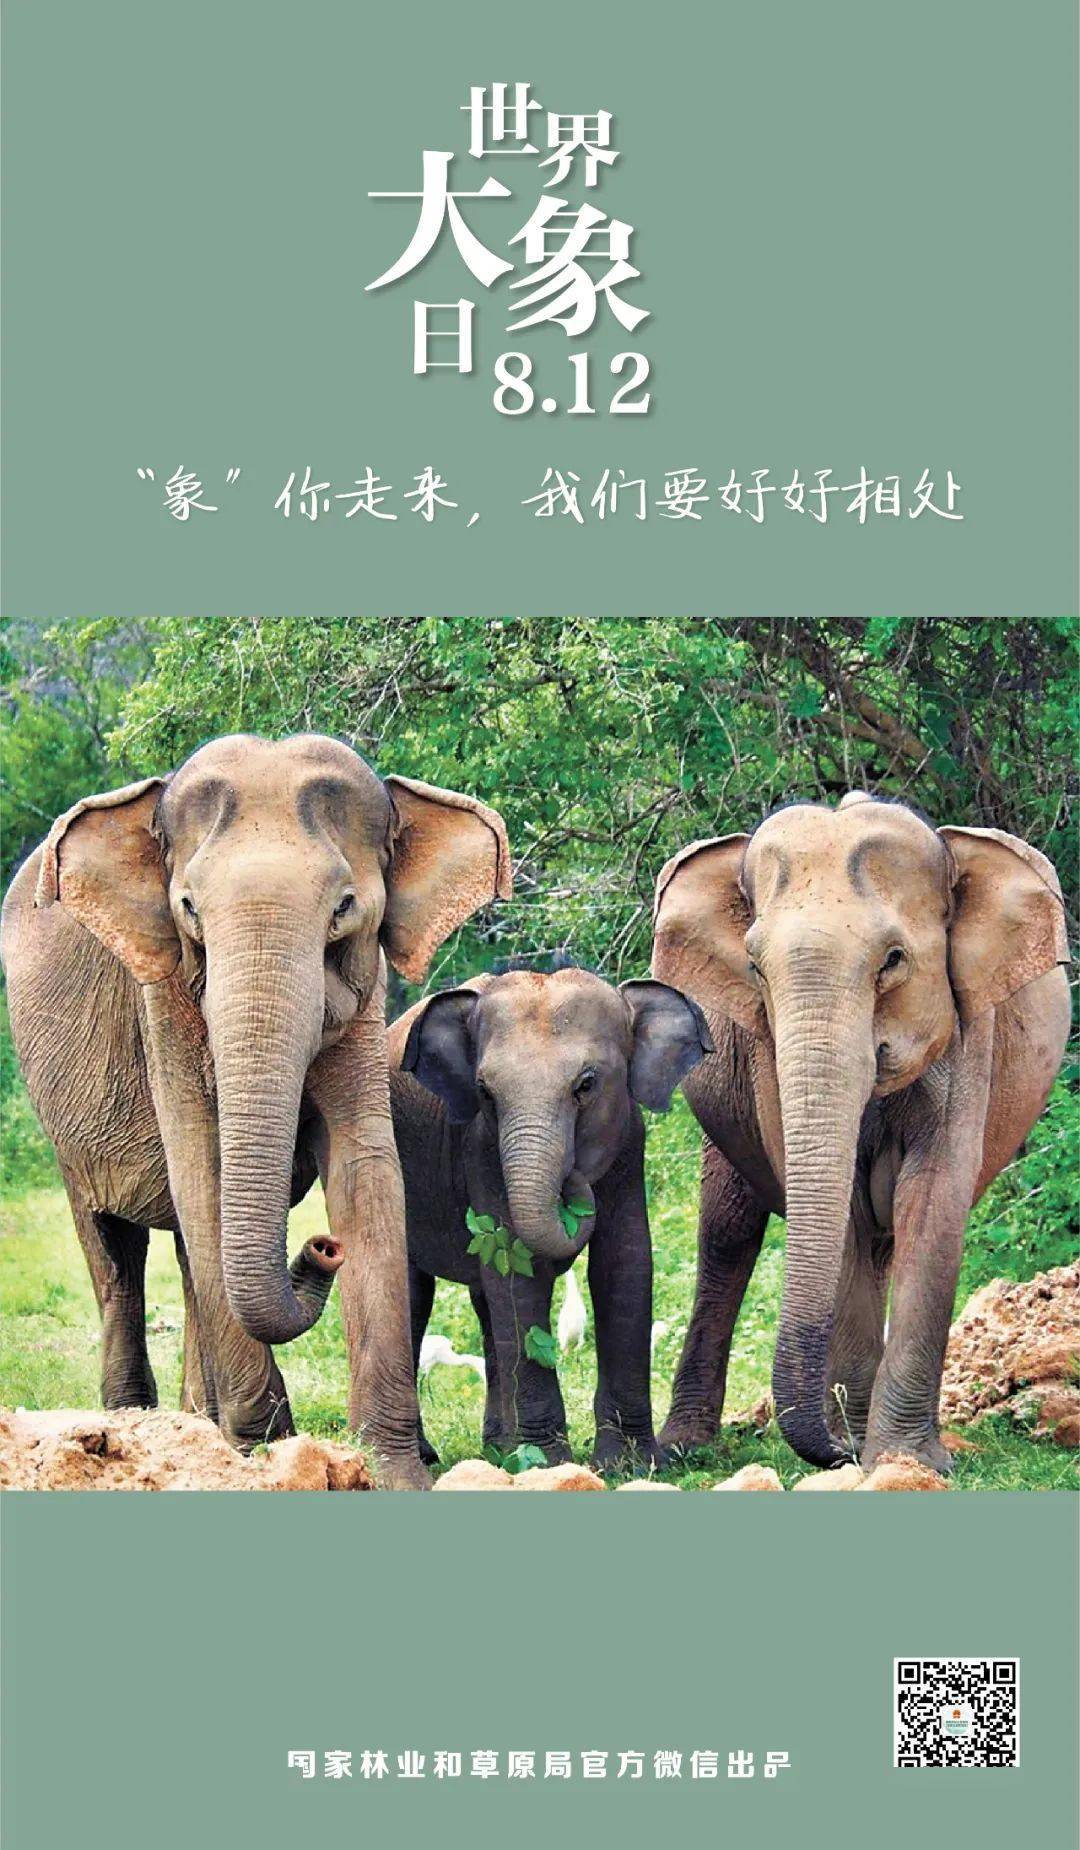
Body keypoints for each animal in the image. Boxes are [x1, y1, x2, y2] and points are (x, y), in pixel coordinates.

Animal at [0, 734, 510, 1488]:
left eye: (345, 906)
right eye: (188, 908)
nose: (322, 1247)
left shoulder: (365, 996)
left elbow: (366, 1167)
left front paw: (391, 1469)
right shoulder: (163, 1001)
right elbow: (200, 1165)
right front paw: (266, 1450)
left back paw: (198, 1424)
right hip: (65, 1128)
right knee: (115, 1250)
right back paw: (132, 1426)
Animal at [387, 967, 712, 1471]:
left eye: (587, 1085)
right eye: (484, 1092)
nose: (574, 1181)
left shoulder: (629, 1142)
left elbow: (624, 1264)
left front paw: (631, 1465)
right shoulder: (481, 1149)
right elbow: (516, 1270)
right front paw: (548, 1464)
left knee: (486, 1308)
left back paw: (499, 1448)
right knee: (415, 1294)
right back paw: (433, 1456)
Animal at [650, 792, 1070, 1474]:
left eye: (893, 960)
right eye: (753, 967)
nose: (839, 1449)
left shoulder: (968, 1031)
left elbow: (933, 1197)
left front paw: (904, 1460)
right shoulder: (766, 1055)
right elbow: (840, 1207)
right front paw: (864, 1447)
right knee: (728, 1234)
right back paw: (686, 1448)